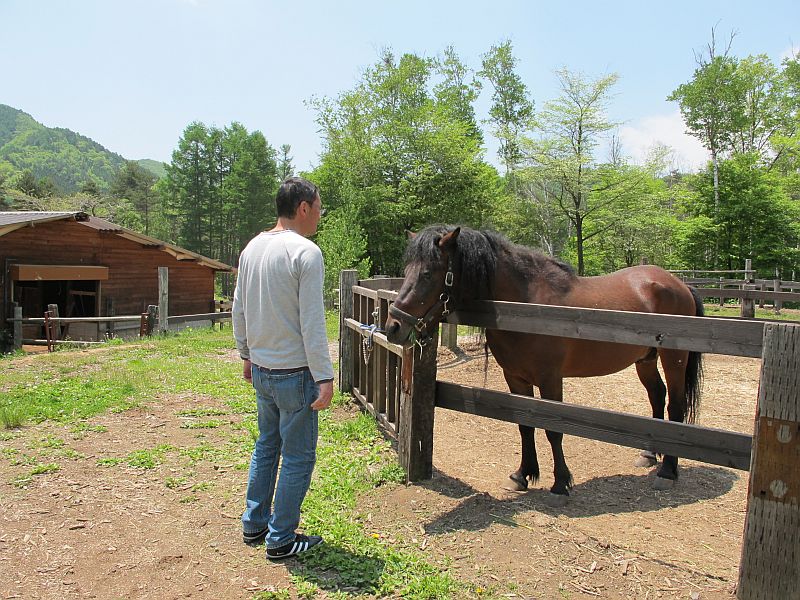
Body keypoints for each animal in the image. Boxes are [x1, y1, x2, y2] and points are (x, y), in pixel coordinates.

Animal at [384, 225, 704, 502]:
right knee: (657, 396)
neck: (528, 306)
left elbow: (553, 430)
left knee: (675, 407)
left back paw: (667, 471)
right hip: (645, 359)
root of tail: (678, 283)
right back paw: (649, 456)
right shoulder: (515, 377)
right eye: (406, 272)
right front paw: (522, 475)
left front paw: (560, 484)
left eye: (428, 274)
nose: (393, 327)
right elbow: (525, 425)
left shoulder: (551, 379)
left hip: (673, 360)